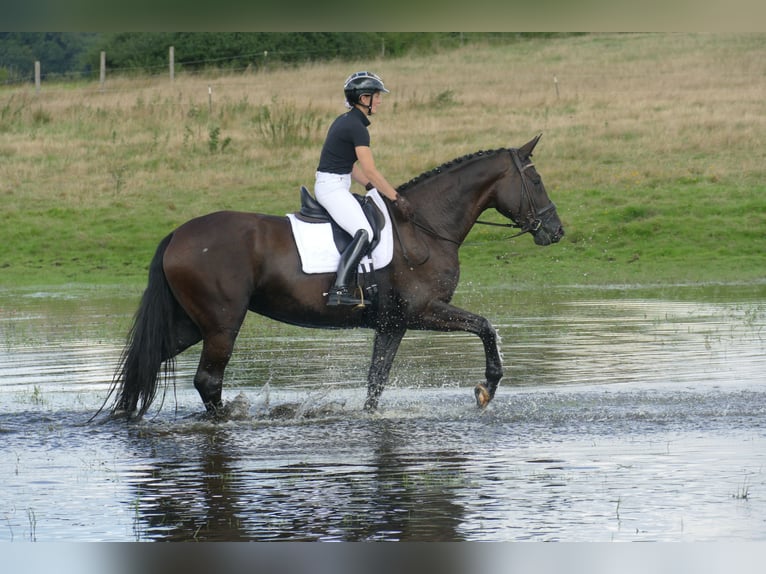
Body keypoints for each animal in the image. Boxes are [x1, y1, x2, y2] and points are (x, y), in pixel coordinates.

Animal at [102, 136, 564, 424]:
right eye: (536, 180)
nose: (555, 231)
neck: (426, 226)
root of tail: (178, 234)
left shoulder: (393, 324)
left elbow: (376, 381)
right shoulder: (425, 311)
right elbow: (485, 327)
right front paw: (487, 388)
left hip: (190, 324)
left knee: (146, 363)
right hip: (221, 325)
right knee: (207, 380)